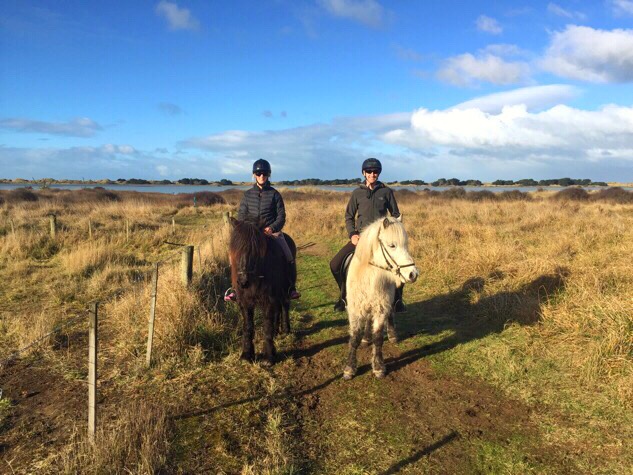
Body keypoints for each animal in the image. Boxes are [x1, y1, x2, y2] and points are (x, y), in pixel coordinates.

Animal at [228, 218, 296, 364]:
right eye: (235, 249)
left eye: (255, 251)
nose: (243, 281)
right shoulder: (245, 301)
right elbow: (248, 326)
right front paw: (246, 355)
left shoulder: (268, 299)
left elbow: (267, 325)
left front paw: (269, 356)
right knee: (278, 309)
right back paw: (277, 331)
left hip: (285, 289)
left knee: (285, 305)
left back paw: (285, 329)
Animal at [344, 218, 418, 382]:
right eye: (392, 245)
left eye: (406, 244)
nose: (413, 274)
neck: (371, 277)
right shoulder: (355, 311)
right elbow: (354, 338)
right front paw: (349, 368)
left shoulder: (381, 309)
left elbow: (378, 338)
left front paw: (378, 367)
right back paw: (366, 339)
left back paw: (392, 335)